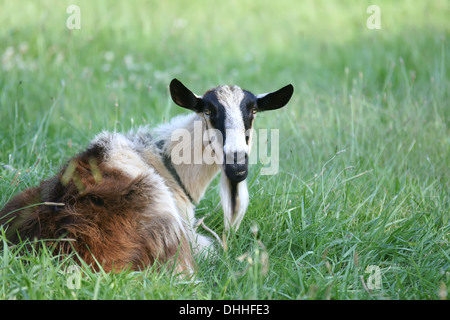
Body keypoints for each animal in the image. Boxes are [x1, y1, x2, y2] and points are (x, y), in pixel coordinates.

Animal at [0, 79, 294, 274]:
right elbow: (213, 248)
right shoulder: (190, 234)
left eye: (253, 111)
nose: (237, 166)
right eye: (209, 111)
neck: (162, 160)